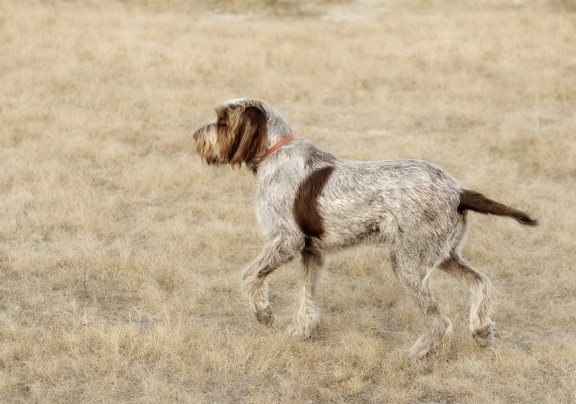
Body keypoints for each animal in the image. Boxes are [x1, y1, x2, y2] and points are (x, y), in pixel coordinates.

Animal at [192, 98, 536, 360]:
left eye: (222, 121)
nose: (195, 135)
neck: (274, 152)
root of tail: (459, 191)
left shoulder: (286, 241)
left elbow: (249, 276)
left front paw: (263, 313)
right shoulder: (311, 252)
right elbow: (305, 295)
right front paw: (301, 330)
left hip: (407, 261)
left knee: (439, 320)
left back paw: (415, 354)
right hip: (443, 254)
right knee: (480, 283)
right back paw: (481, 330)